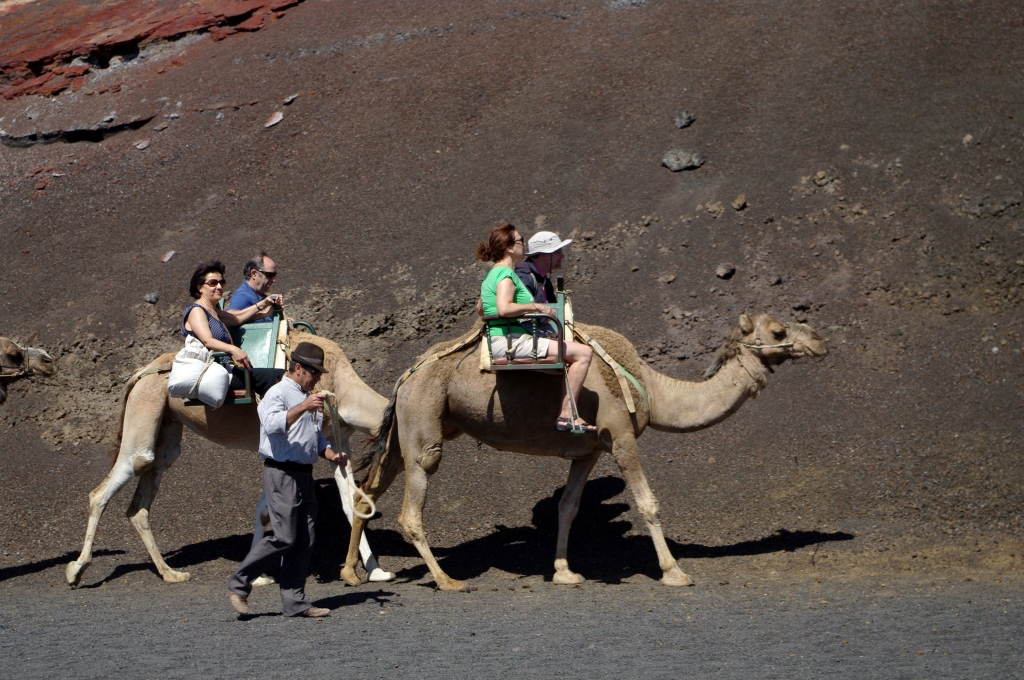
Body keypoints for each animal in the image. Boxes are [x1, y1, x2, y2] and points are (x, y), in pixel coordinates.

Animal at [66, 331, 391, 587]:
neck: (342, 388)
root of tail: (139, 373)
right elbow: (269, 509)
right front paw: (259, 575)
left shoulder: (337, 443)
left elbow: (351, 504)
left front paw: (375, 571)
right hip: (145, 410)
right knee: (116, 479)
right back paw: (76, 570)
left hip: (167, 426)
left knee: (142, 499)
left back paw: (171, 573)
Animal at [345, 313, 826, 590]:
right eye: (779, 331)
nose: (820, 340)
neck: (650, 387)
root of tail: (406, 374)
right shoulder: (621, 436)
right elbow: (648, 503)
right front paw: (674, 572)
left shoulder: (588, 450)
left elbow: (569, 508)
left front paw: (564, 572)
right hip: (424, 421)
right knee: (411, 504)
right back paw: (447, 580)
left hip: (409, 426)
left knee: (368, 489)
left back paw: (351, 573)